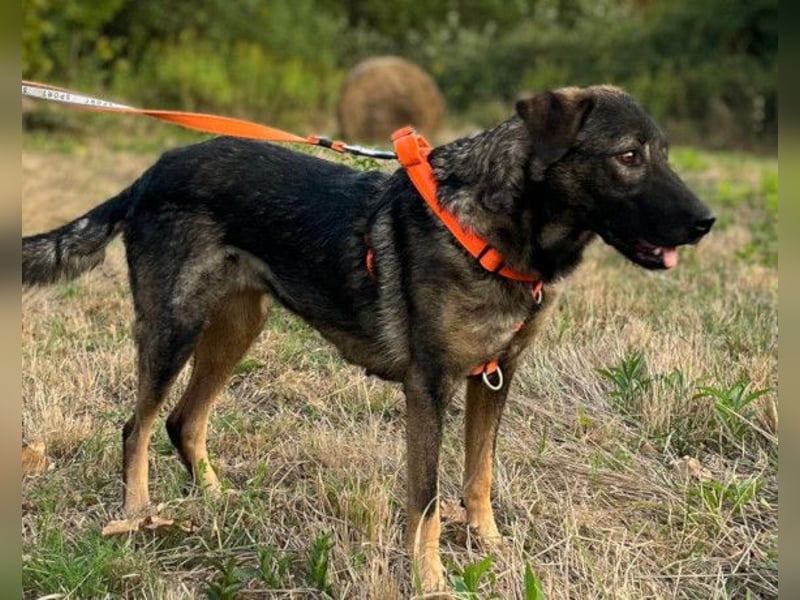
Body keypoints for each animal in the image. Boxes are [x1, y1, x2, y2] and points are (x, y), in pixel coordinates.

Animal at [22, 85, 714, 593]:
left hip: (238, 328)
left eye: (664, 153)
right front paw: (431, 582)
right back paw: (138, 517)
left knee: (183, 421)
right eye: (628, 156)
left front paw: (492, 548)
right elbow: (427, 500)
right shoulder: (429, 389)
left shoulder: (496, 376)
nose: (706, 222)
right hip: (174, 329)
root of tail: (151, 173)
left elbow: (480, 477)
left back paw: (217, 503)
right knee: (136, 427)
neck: (500, 223)